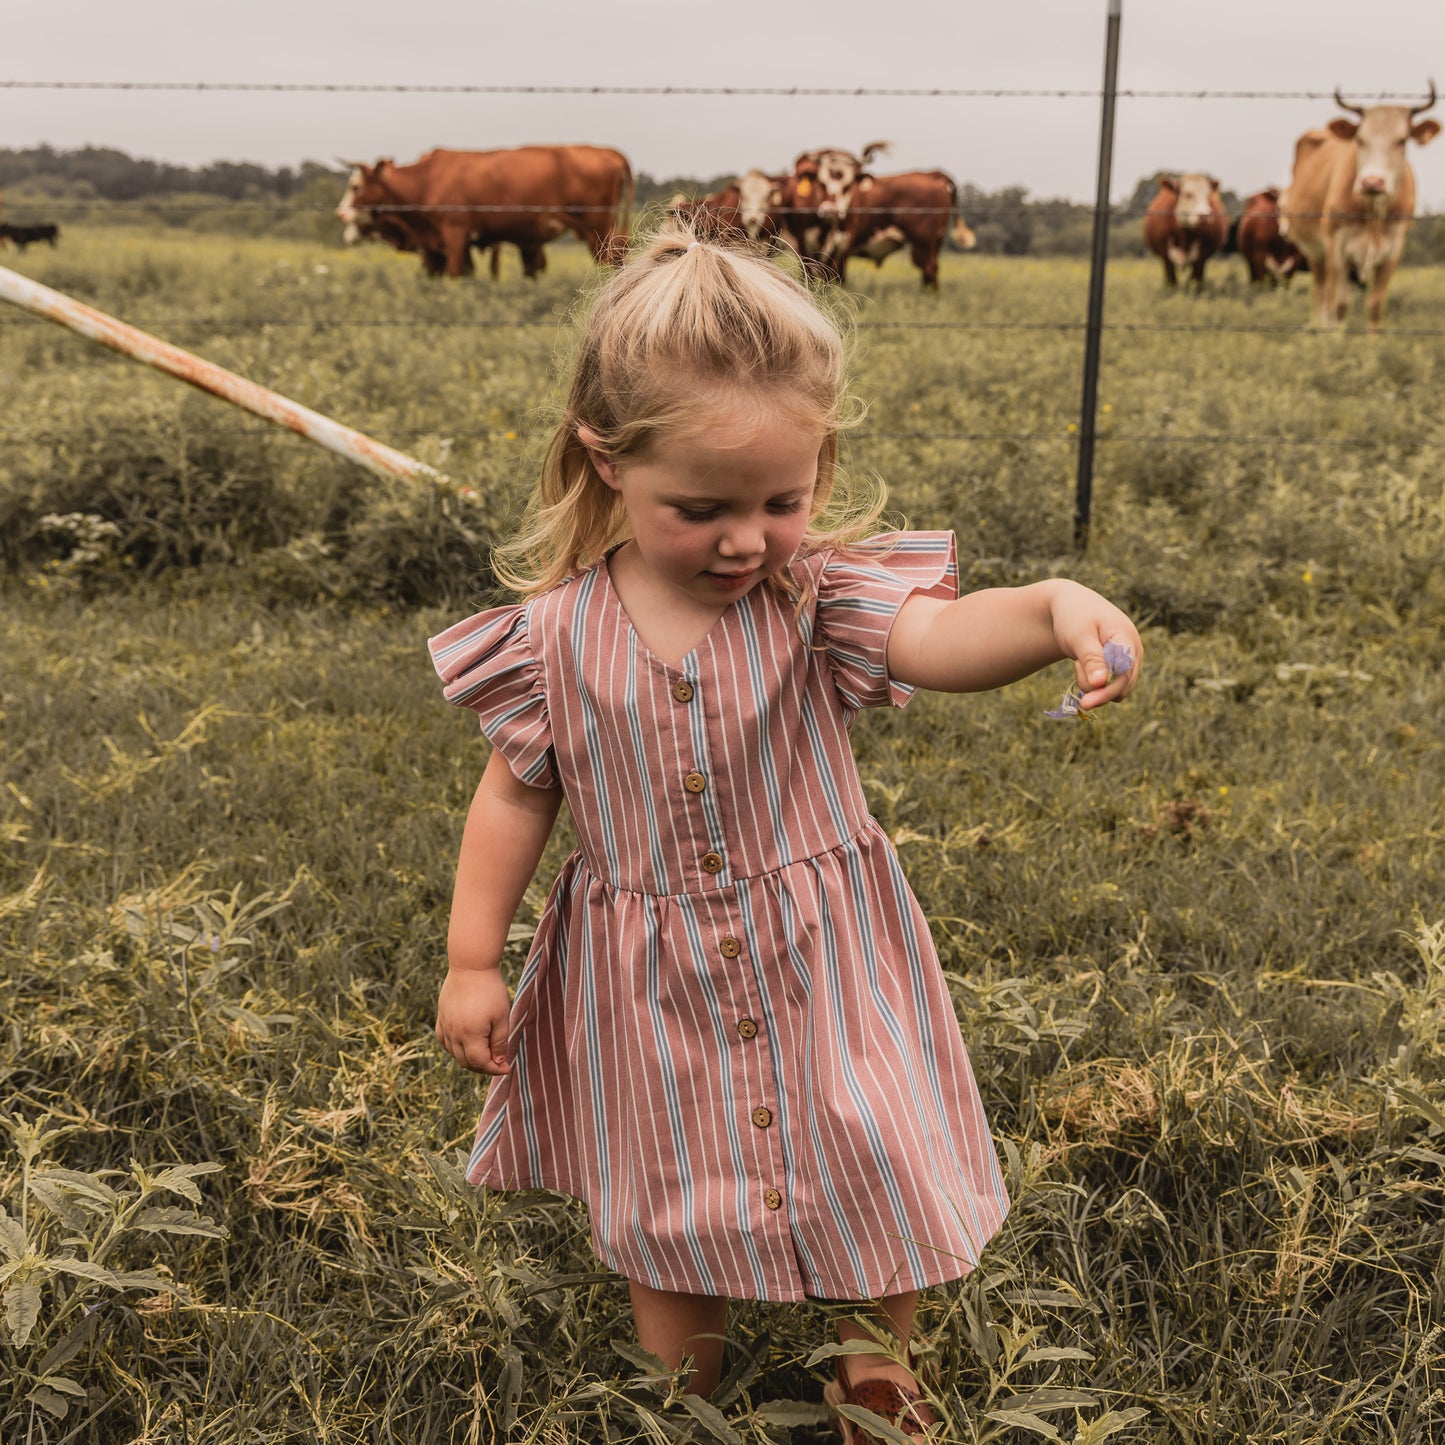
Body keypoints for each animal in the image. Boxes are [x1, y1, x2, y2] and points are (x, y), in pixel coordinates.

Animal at [341, 146, 635, 278]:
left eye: (356, 186)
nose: (340, 214)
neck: (428, 181)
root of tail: (610, 152)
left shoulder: (454, 234)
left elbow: (455, 274)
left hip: (598, 230)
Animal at [1283, 82, 1439, 330]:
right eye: (1360, 139)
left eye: (1402, 140)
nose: (1372, 181)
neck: (1373, 212)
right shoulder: (1336, 247)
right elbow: (1340, 303)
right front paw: (1336, 335)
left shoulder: (1393, 249)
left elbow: (1375, 303)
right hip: (1315, 251)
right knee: (1321, 292)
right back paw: (1319, 326)